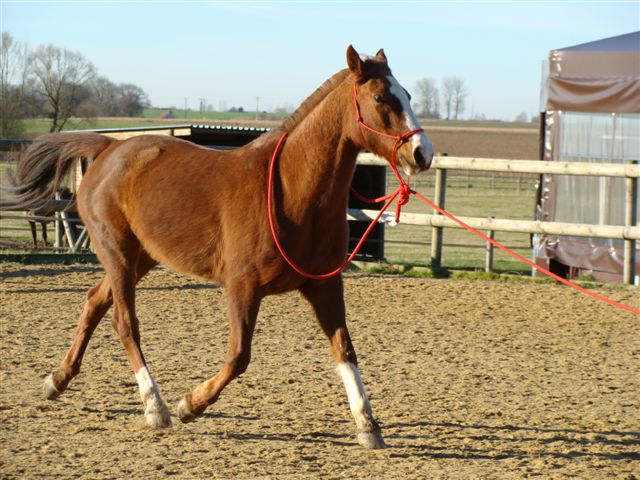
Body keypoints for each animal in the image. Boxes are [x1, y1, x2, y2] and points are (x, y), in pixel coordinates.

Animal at [2, 47, 432, 448]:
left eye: (408, 94)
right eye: (381, 98)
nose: (422, 153)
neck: (290, 193)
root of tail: (108, 148)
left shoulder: (324, 287)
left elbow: (345, 350)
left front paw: (368, 426)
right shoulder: (242, 288)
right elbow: (239, 357)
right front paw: (189, 404)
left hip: (140, 259)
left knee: (94, 302)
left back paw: (57, 381)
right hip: (118, 255)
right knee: (124, 323)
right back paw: (155, 406)